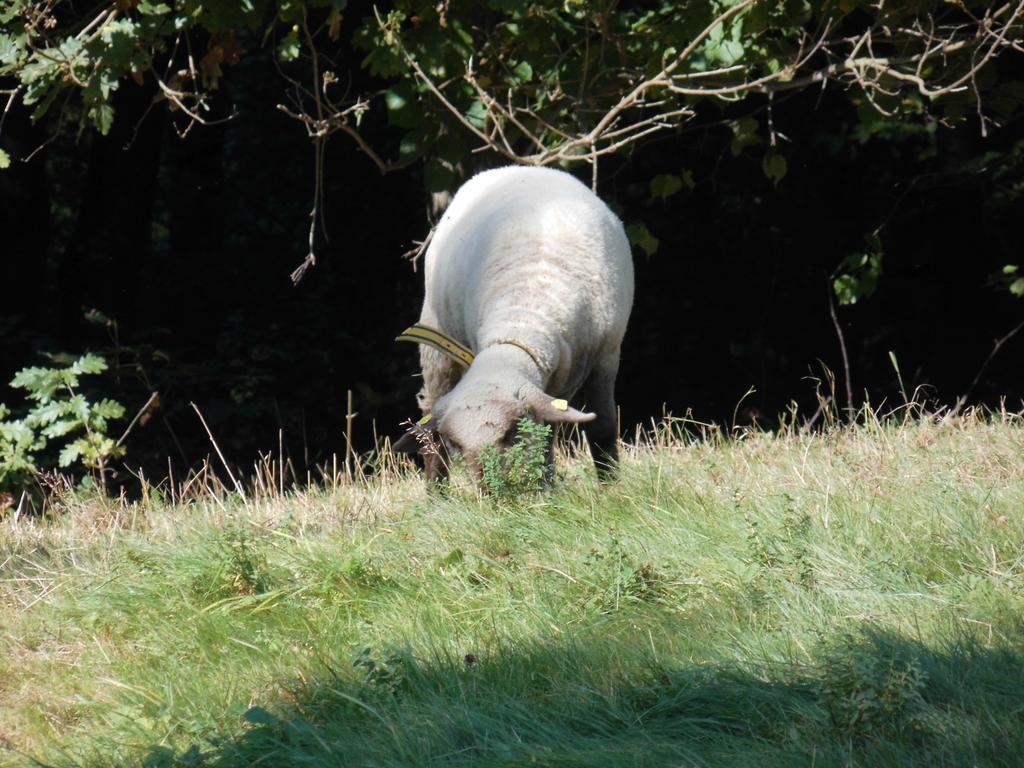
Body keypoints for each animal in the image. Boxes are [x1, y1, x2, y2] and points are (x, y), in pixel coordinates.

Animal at [391, 166, 630, 481]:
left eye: (511, 433)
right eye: (457, 443)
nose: (490, 486)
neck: (522, 321)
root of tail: (522, 168)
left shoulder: (607, 357)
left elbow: (601, 429)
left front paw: (611, 485)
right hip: (438, 344)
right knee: (429, 430)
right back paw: (435, 490)